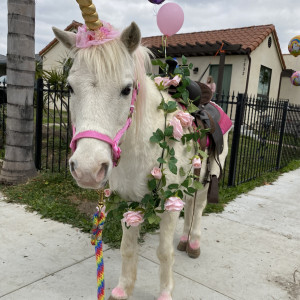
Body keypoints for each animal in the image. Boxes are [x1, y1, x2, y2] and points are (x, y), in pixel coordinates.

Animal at [52, 21, 229, 300]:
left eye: (126, 89)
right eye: (70, 87)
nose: (88, 169)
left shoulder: (170, 203)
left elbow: (164, 253)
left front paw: (165, 292)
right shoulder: (128, 201)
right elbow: (127, 248)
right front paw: (123, 289)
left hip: (206, 179)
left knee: (197, 208)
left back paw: (193, 242)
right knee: (190, 207)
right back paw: (184, 240)